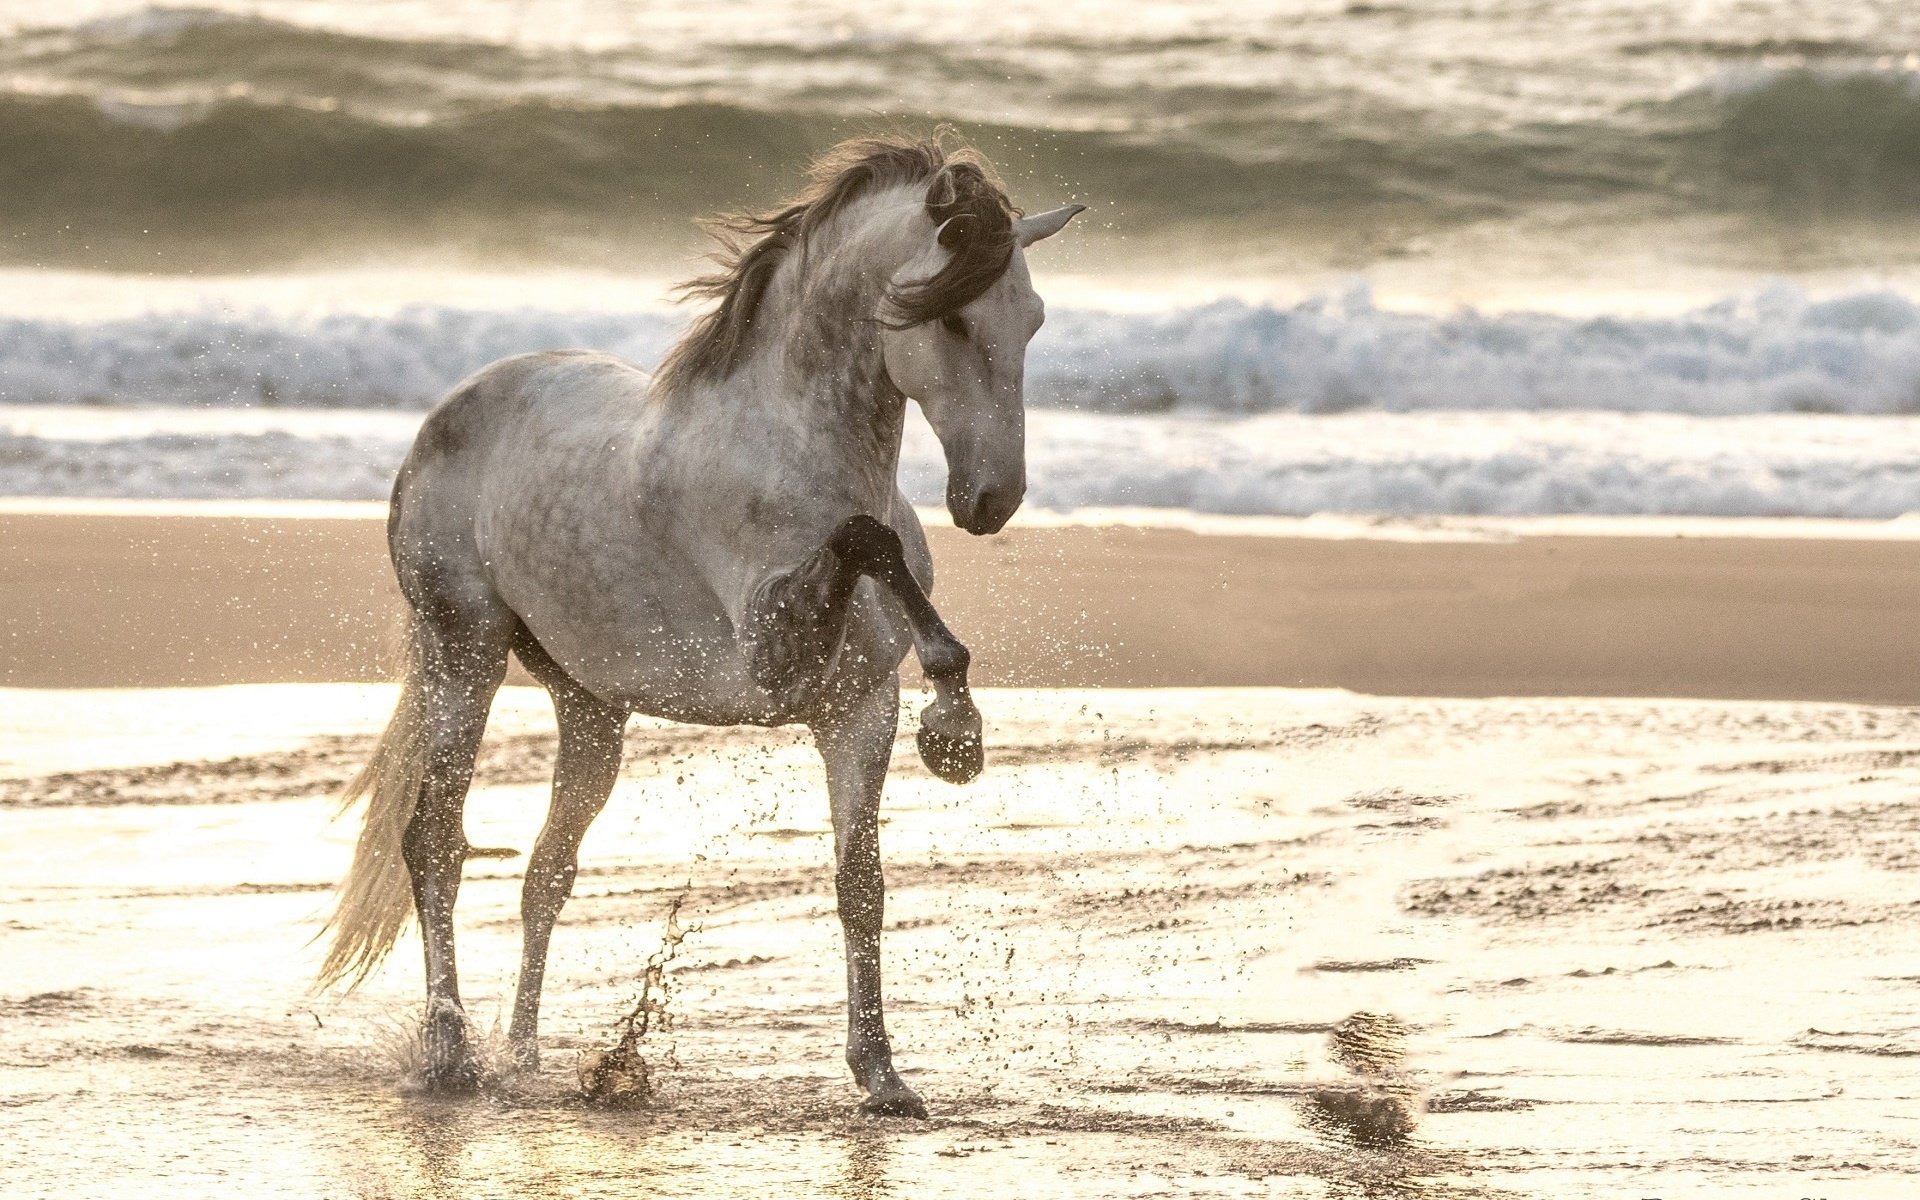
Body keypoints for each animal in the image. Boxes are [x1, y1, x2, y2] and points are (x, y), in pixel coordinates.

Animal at [322, 138, 1090, 1113]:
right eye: (951, 321)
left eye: (1032, 320)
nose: (990, 502)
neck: (789, 451)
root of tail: (447, 414)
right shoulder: (775, 658)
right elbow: (865, 539)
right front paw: (956, 727)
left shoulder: (856, 711)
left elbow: (861, 885)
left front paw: (883, 1078)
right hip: (465, 652)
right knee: (434, 843)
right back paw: (452, 1055)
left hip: (591, 707)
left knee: (546, 871)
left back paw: (523, 1057)